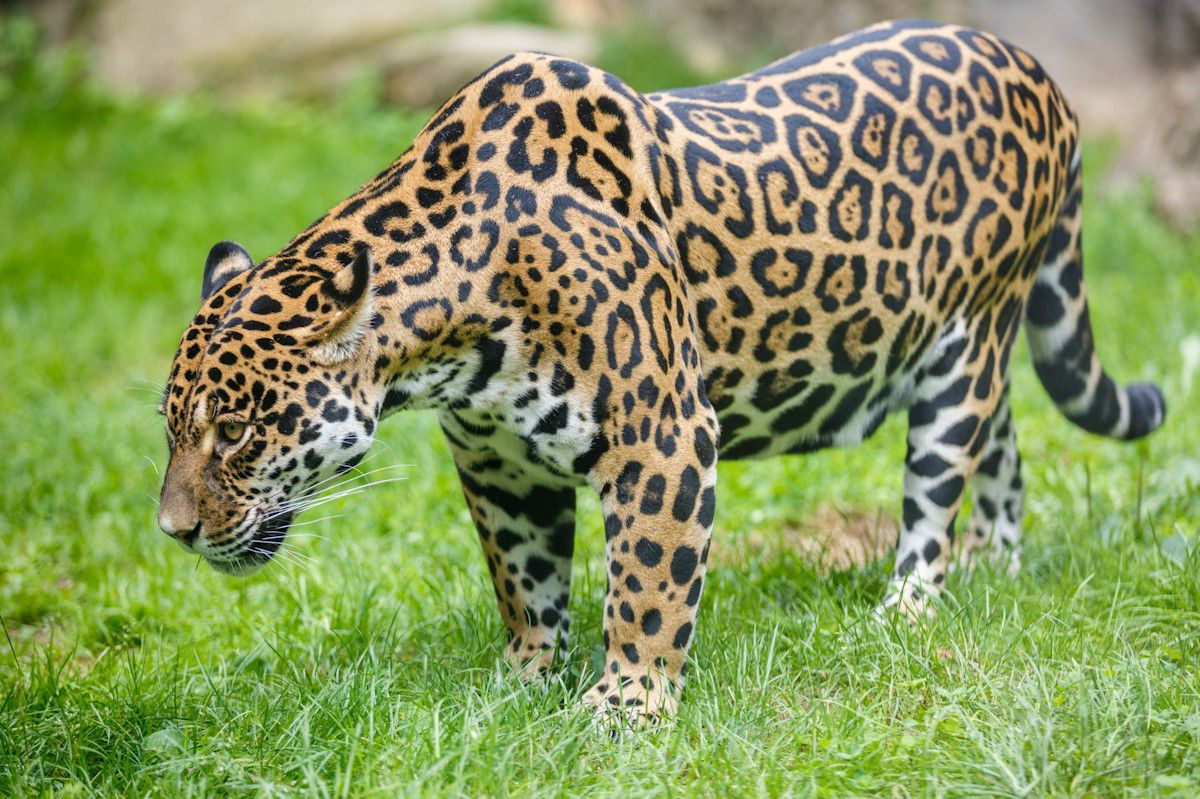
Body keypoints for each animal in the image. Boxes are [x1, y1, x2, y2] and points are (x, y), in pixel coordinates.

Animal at [156, 18, 1167, 724]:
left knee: (942, 479)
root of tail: (1032, 65)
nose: (172, 532)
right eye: (174, 430)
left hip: (967, 344)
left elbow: (646, 583)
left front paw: (625, 710)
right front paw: (525, 681)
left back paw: (912, 606)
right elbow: (524, 578)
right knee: (1006, 445)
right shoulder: (496, 462)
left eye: (236, 430)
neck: (449, 339)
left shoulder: (661, 435)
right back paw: (992, 568)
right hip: (953, 344)